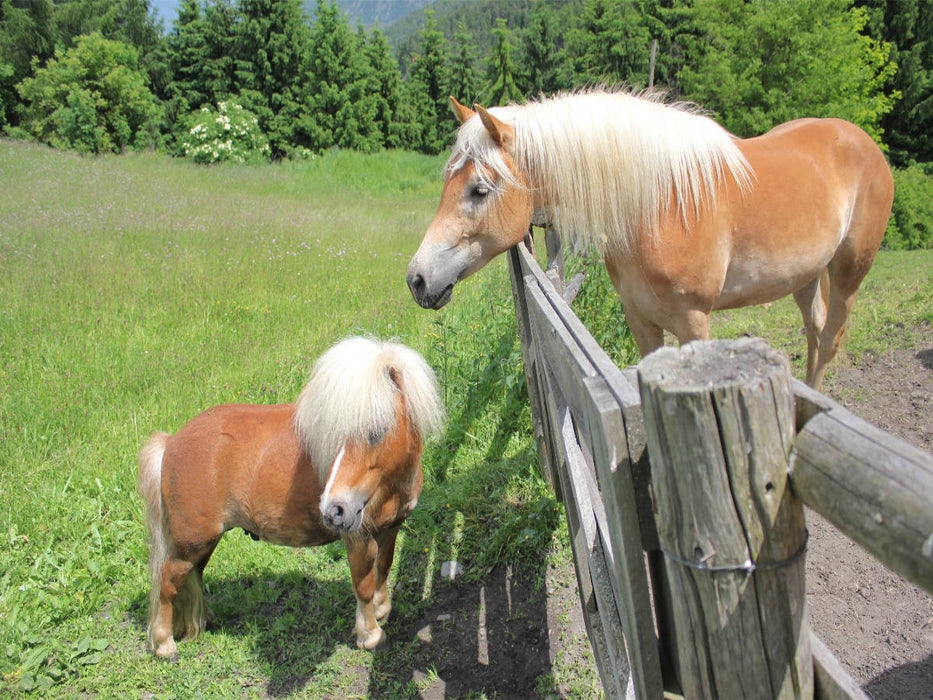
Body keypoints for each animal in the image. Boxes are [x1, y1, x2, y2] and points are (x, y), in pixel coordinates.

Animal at [137, 336, 444, 659]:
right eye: (334, 436)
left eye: (376, 432)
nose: (334, 510)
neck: (389, 486)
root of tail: (171, 442)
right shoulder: (358, 539)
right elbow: (363, 585)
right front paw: (370, 634)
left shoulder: (390, 528)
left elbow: (384, 568)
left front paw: (382, 608)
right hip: (190, 543)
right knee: (167, 583)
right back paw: (164, 643)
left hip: (201, 542)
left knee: (193, 575)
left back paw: (203, 619)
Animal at [406, 89, 894, 390]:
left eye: (479, 190)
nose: (417, 279)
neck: (659, 205)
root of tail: (861, 139)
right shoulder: (641, 319)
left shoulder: (694, 321)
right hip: (805, 276)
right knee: (814, 331)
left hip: (851, 269)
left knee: (830, 338)